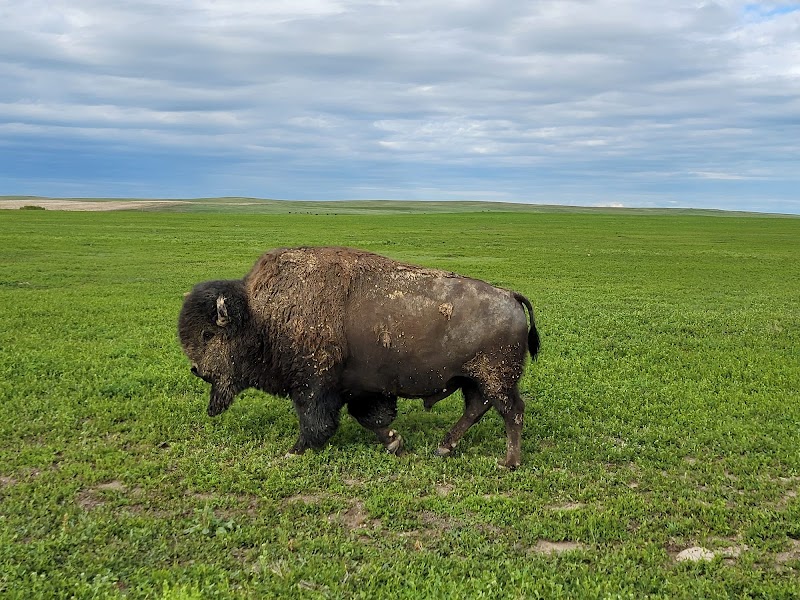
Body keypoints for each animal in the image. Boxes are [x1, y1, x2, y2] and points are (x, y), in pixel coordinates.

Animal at [178, 246, 539, 468]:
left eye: (208, 334)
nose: (197, 370)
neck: (259, 316)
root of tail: (509, 295)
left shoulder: (313, 388)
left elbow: (316, 422)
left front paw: (293, 452)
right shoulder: (359, 390)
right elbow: (369, 418)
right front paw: (396, 444)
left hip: (495, 378)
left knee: (512, 412)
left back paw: (508, 462)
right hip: (473, 379)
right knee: (477, 408)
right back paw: (443, 448)